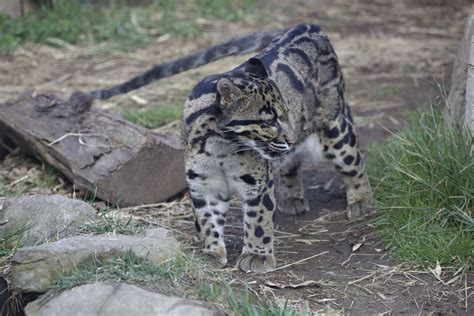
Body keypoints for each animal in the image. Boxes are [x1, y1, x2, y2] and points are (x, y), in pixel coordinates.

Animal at [73, 23, 370, 272]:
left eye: (285, 113)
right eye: (269, 120)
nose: (289, 134)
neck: (220, 148)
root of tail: (306, 26)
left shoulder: (257, 183)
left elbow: (258, 220)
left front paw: (257, 256)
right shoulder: (202, 183)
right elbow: (207, 219)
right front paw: (212, 252)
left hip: (334, 126)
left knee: (353, 162)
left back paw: (361, 202)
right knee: (290, 162)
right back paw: (292, 198)